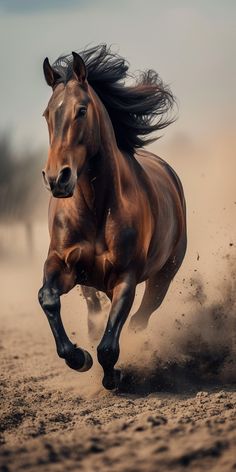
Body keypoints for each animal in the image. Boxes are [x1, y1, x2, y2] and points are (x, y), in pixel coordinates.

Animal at [38, 45, 186, 390]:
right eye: (48, 114)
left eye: (81, 110)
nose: (57, 178)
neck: (97, 208)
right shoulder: (61, 263)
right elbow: (48, 298)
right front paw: (79, 357)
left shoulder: (126, 278)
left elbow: (109, 344)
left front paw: (114, 375)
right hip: (89, 285)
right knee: (95, 314)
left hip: (164, 276)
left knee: (139, 321)